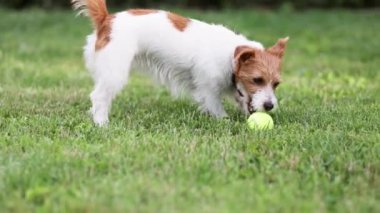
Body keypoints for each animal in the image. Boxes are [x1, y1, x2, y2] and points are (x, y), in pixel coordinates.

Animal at [71, 0, 288, 125]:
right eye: (257, 80)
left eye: (276, 84)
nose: (269, 106)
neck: (230, 57)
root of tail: (107, 19)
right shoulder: (208, 89)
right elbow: (217, 108)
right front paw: (226, 122)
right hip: (115, 71)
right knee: (99, 96)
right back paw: (101, 123)